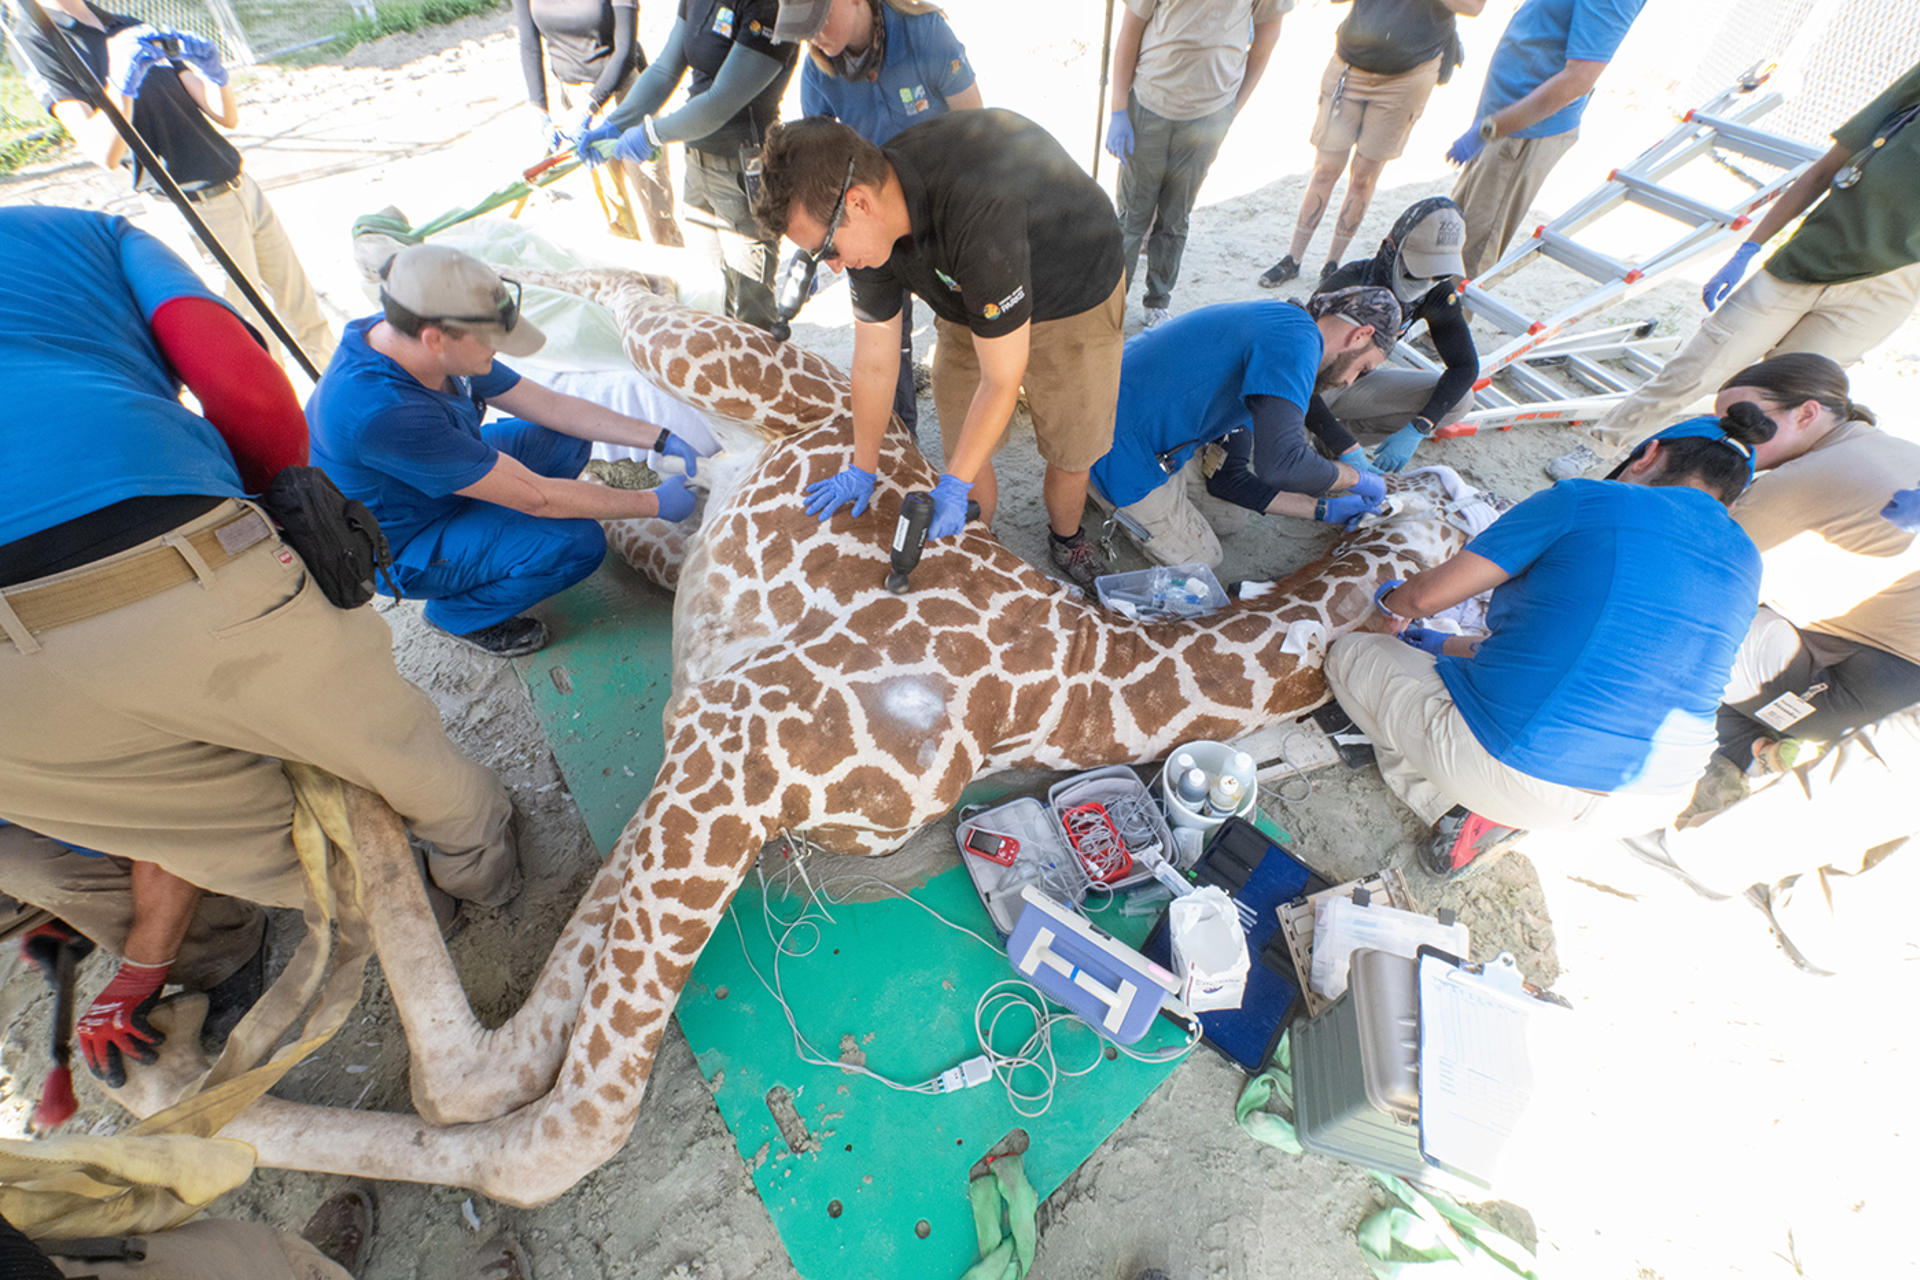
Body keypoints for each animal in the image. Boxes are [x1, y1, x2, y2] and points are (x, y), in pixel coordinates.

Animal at [187, 272, 1459, 1212]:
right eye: (1455, 501)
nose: (1422, 464)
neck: (1072, 682)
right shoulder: (735, 743)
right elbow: (559, 1124)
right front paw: (186, 1102)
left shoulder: (722, 747)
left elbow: (497, 1070)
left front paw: (209, 1074)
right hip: (708, 361)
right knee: (609, 294)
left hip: (680, 503)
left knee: (608, 443)